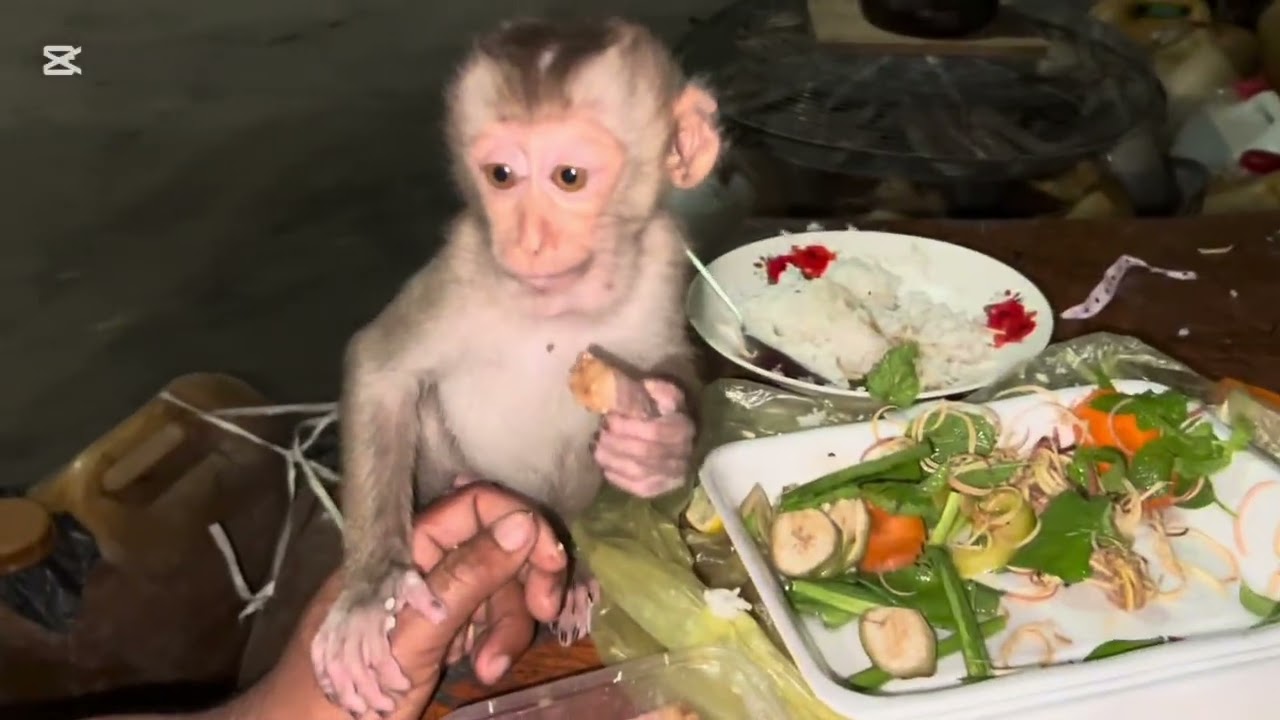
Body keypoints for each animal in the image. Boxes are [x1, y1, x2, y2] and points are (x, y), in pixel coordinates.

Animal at [309, 17, 723, 717]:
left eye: (569, 177)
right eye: (501, 175)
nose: (527, 241)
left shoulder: (665, 251)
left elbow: (665, 361)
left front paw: (662, 445)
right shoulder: (468, 263)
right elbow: (382, 368)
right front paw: (373, 588)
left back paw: (580, 569)